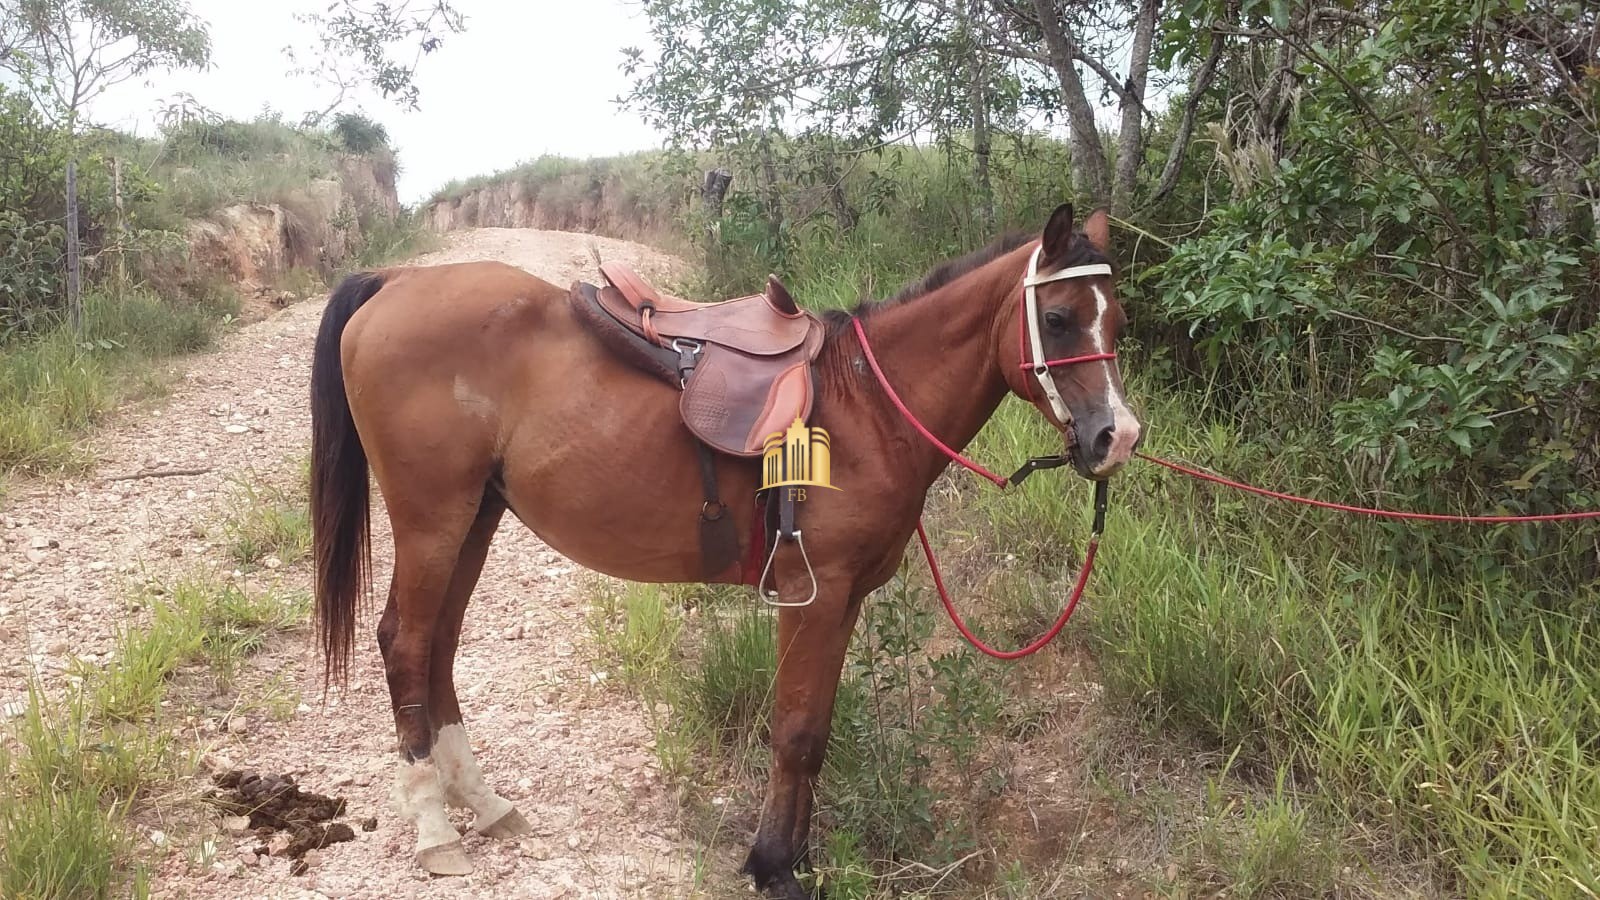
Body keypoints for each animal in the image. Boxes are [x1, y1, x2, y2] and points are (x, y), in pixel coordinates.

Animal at [308, 199, 1139, 890]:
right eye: (1058, 318)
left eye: (1118, 322)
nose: (1118, 437)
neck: (868, 407)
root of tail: (393, 283)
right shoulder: (813, 594)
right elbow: (796, 733)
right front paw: (773, 866)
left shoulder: (842, 602)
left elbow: (817, 730)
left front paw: (795, 858)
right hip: (432, 521)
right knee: (406, 643)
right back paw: (435, 830)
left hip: (474, 520)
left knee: (439, 646)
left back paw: (484, 804)